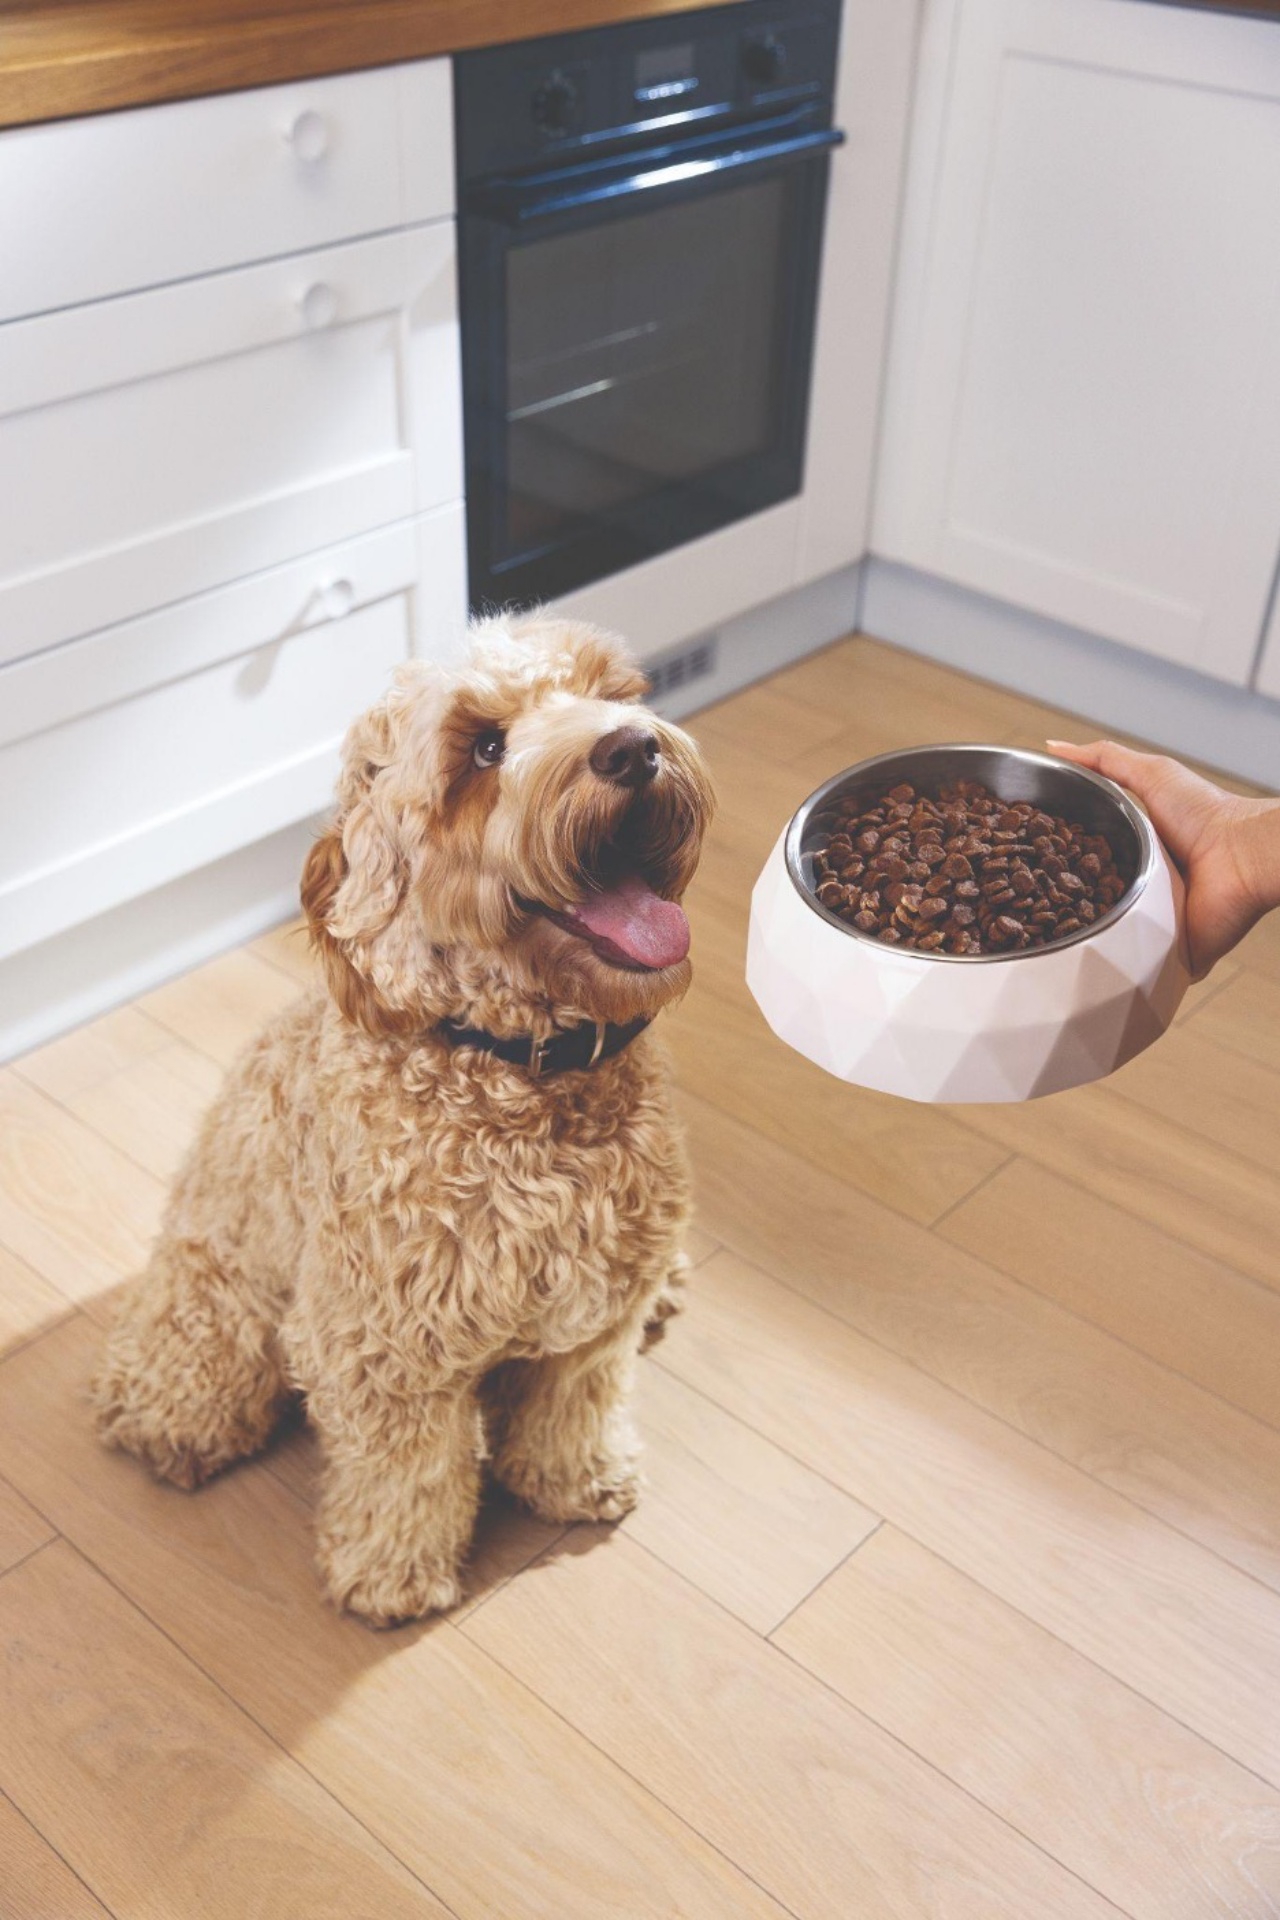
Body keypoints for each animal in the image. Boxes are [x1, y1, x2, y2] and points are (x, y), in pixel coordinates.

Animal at [94, 610, 717, 1620]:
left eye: (611, 692)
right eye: (484, 748)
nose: (633, 747)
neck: (520, 1079)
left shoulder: (591, 1318)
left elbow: (573, 1405)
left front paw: (576, 1481)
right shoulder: (380, 1345)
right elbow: (406, 1471)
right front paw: (392, 1577)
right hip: (216, 1315)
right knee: (176, 1389)